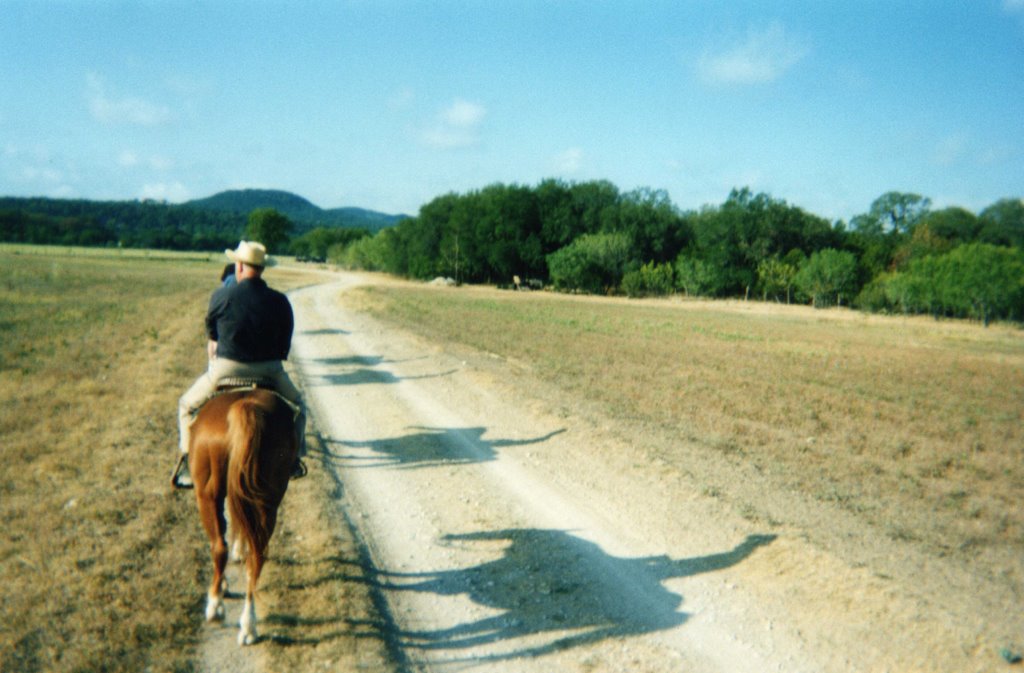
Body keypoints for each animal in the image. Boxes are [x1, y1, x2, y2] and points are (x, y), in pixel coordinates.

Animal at [188, 389, 296, 647]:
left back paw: (216, 606)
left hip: (206, 496)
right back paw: (248, 625)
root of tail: (245, 408)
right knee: (256, 558)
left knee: (219, 547)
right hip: (267, 500)